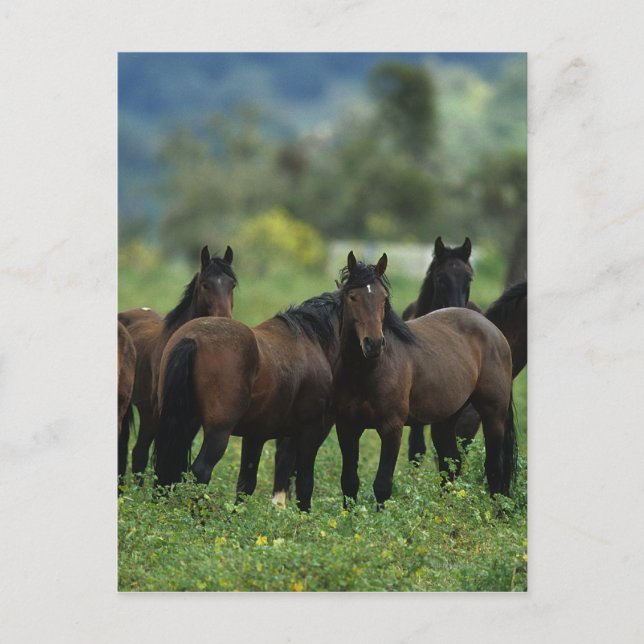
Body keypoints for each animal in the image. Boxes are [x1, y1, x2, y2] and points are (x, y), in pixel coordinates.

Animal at [118, 245, 236, 478]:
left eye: (232, 284)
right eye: (205, 284)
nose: (223, 321)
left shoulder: (193, 418)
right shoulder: (161, 413)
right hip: (145, 412)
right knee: (137, 452)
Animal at [154, 291, 342, 512]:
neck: (312, 341)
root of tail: (191, 339)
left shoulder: (256, 435)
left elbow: (247, 483)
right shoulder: (311, 430)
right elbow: (303, 481)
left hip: (183, 423)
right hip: (218, 431)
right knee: (201, 470)